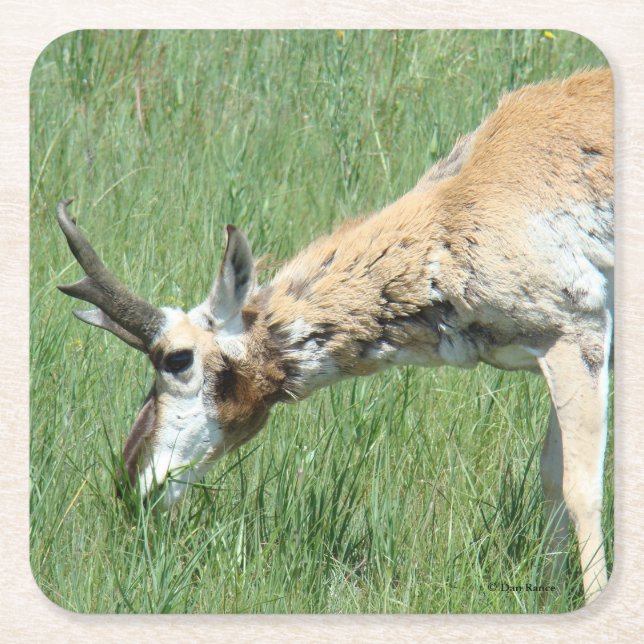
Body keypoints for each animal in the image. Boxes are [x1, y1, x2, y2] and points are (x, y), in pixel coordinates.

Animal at [56, 68, 613, 603]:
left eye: (176, 359)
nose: (129, 486)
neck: (467, 200)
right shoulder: (551, 353)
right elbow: (551, 476)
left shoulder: (577, 337)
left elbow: (582, 487)